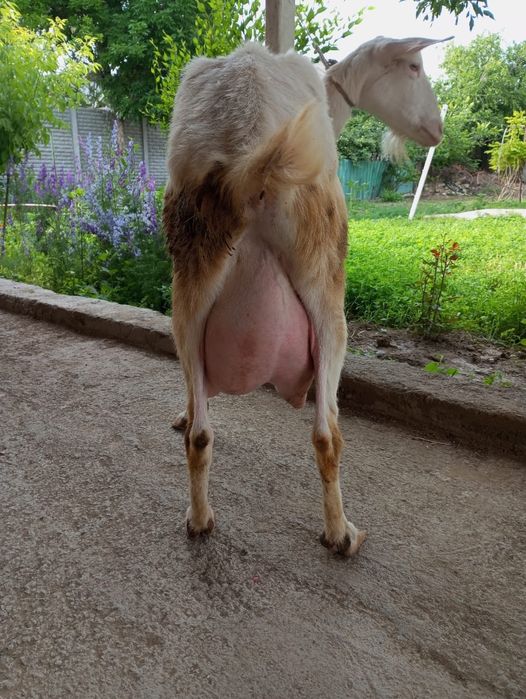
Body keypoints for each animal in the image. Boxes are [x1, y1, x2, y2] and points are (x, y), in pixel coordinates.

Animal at [163, 36, 444, 556]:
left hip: (189, 287)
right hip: (327, 288)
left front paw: (181, 411)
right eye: (413, 66)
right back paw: (341, 533)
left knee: (200, 435)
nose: (437, 128)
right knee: (327, 436)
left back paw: (199, 518)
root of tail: (247, 155)